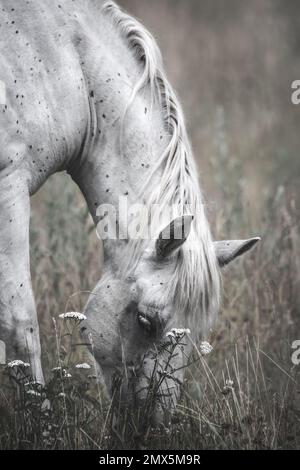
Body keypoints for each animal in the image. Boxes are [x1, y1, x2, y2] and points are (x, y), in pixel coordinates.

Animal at [0, 0, 258, 418]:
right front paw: (41, 422)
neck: (65, 59)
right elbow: (19, 324)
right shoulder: (9, 185)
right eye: (145, 321)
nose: (152, 423)